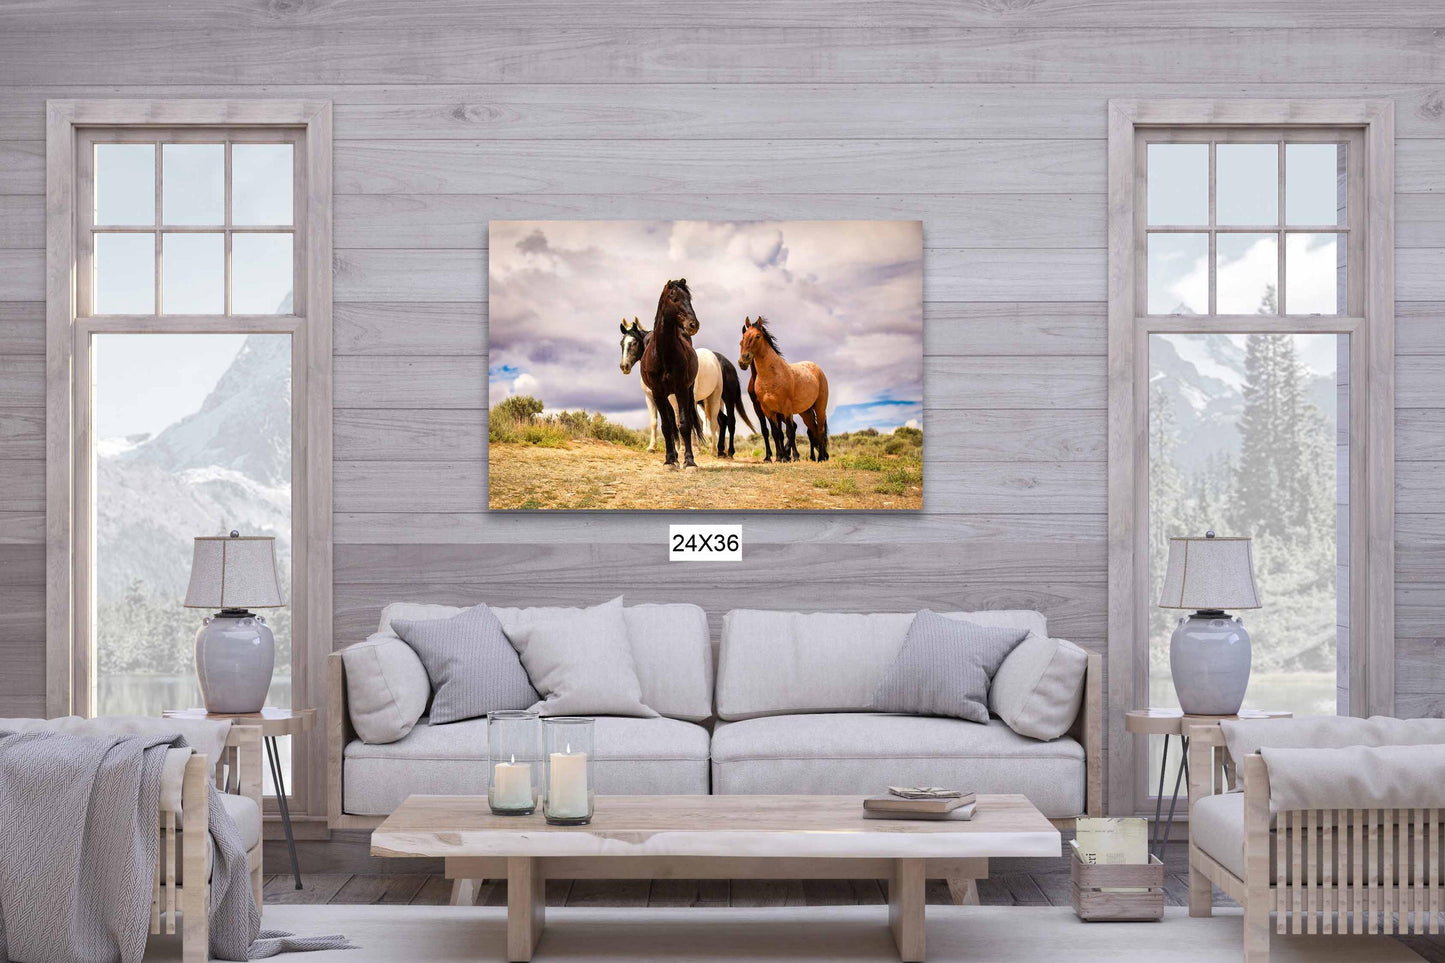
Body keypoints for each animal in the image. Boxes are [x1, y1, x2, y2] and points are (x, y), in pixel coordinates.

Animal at [638, 277, 699, 468]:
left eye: (689, 298)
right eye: (675, 298)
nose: (693, 324)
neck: (663, 353)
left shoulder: (681, 390)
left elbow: (684, 425)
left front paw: (689, 461)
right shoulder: (657, 393)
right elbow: (666, 427)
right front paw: (669, 460)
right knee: (670, 424)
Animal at [739, 315, 832, 462]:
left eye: (757, 336)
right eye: (743, 337)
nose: (743, 360)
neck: (771, 375)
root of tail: (817, 368)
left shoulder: (786, 407)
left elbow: (789, 431)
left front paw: (795, 457)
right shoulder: (767, 409)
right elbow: (775, 432)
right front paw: (779, 457)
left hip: (820, 407)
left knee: (820, 430)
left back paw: (821, 457)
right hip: (806, 412)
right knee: (813, 430)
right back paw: (818, 457)